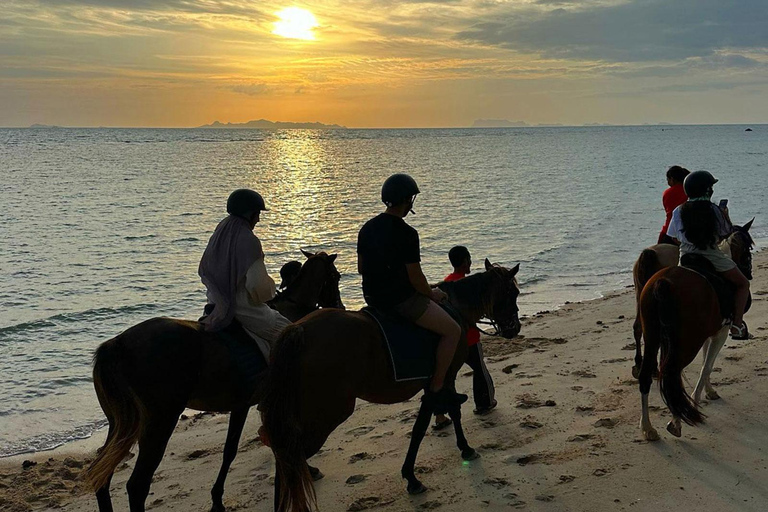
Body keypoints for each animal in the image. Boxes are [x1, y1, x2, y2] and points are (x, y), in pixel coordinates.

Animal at [83, 251, 342, 512]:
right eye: (336, 276)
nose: (339, 306)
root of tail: (117, 344)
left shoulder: (244, 404)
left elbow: (234, 449)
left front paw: (217, 500)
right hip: (159, 423)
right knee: (137, 485)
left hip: (121, 423)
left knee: (101, 473)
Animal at [260, 260, 520, 512]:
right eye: (514, 293)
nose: (515, 328)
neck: (455, 308)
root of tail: (299, 329)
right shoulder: (445, 378)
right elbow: (437, 419)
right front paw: (456, 453)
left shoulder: (434, 384)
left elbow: (427, 421)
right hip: (328, 413)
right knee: (290, 457)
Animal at [636, 222, 756, 442]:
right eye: (748, 248)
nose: (748, 274)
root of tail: (663, 282)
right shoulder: (721, 332)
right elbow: (706, 366)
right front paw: (696, 399)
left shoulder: (710, 332)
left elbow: (706, 362)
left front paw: (709, 390)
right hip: (687, 343)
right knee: (671, 373)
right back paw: (675, 422)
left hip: (653, 337)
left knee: (648, 374)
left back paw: (648, 428)